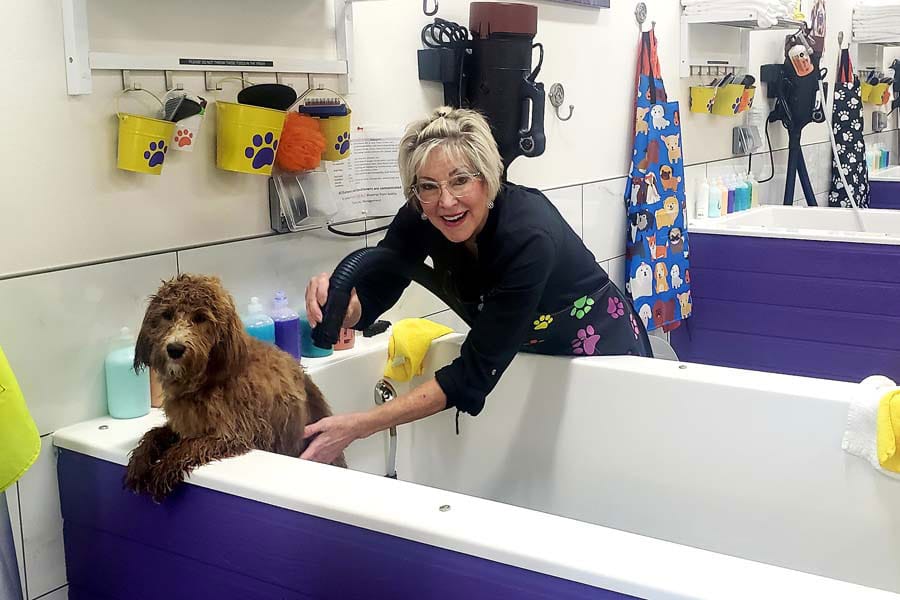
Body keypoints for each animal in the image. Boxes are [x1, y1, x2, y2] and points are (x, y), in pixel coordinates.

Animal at [123, 274, 342, 502]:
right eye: (167, 315)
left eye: (200, 318)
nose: (175, 349)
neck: (206, 378)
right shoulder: (185, 424)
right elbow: (154, 434)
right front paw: (140, 461)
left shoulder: (237, 433)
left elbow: (189, 445)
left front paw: (163, 467)